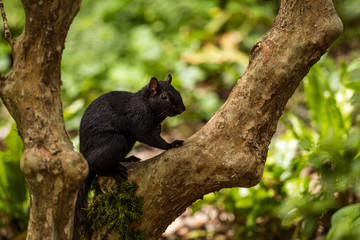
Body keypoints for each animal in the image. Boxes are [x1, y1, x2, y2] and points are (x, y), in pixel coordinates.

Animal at [73, 74, 186, 230]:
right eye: (164, 97)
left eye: (177, 91)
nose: (183, 108)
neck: (146, 103)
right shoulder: (139, 118)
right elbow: (147, 136)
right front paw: (171, 144)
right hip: (116, 142)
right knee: (95, 165)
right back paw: (114, 170)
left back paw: (128, 159)